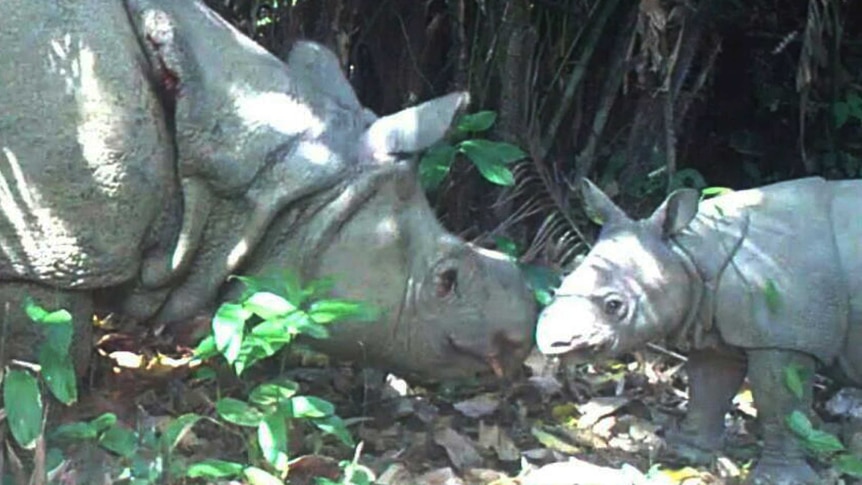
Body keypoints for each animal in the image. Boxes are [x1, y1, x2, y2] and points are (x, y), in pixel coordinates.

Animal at [536, 178, 860, 484]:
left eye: (614, 305)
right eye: (561, 283)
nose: (552, 341)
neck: (688, 253)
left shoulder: (784, 337)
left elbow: (781, 406)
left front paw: (779, 480)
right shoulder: (717, 328)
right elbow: (708, 388)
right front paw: (685, 455)